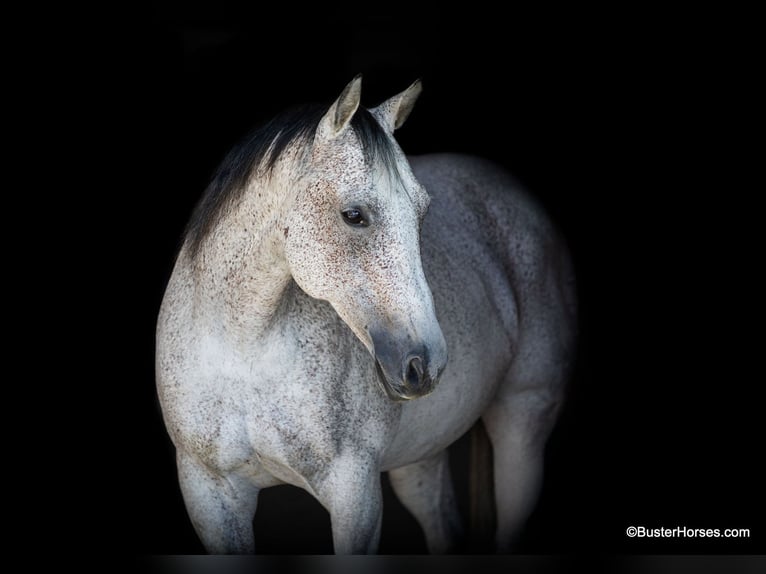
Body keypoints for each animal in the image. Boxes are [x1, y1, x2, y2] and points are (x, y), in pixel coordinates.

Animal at [156, 75, 577, 554]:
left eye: (421, 213)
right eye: (353, 215)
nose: (425, 364)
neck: (244, 351)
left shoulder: (353, 491)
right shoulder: (209, 491)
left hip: (522, 422)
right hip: (421, 460)